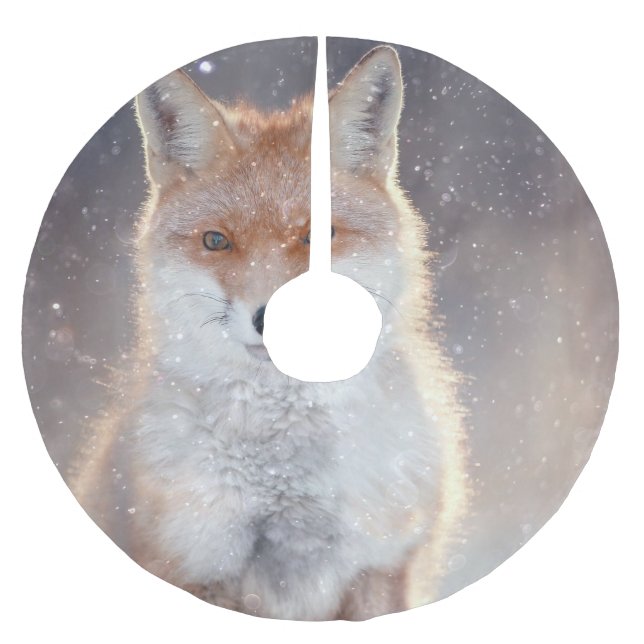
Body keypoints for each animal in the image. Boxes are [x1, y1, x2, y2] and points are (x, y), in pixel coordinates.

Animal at [69, 44, 469, 621]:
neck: (288, 483)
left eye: (319, 235)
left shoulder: (381, 566)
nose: (272, 316)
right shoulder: (199, 565)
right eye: (216, 241)